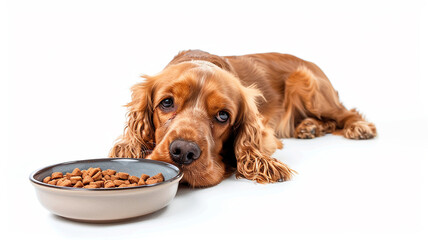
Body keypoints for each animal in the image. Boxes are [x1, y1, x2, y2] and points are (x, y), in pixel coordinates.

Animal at [108, 49, 378, 187]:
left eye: (223, 115)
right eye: (166, 102)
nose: (183, 152)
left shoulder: (266, 133)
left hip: (310, 87)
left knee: (347, 113)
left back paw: (359, 127)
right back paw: (309, 127)